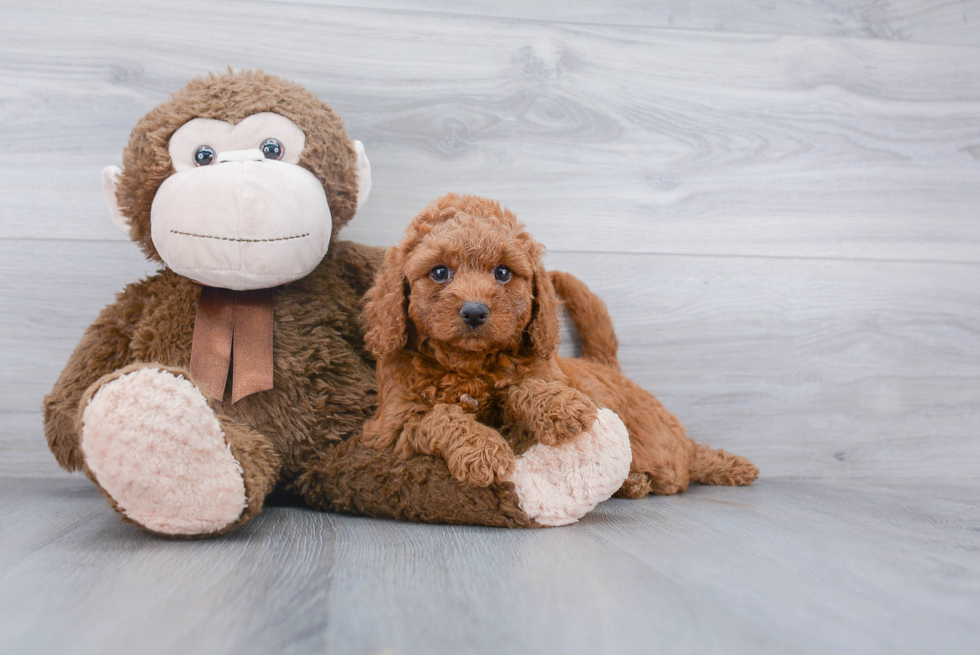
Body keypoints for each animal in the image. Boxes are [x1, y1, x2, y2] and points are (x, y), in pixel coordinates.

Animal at [360, 195, 756, 498]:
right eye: (440, 272)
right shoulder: (391, 426)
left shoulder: (539, 374)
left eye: (503, 272)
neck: (469, 363)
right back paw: (637, 482)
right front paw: (483, 451)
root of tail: (607, 365)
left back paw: (731, 466)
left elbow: (525, 388)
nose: (474, 311)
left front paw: (561, 407)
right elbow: (440, 417)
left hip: (653, 436)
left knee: (684, 454)